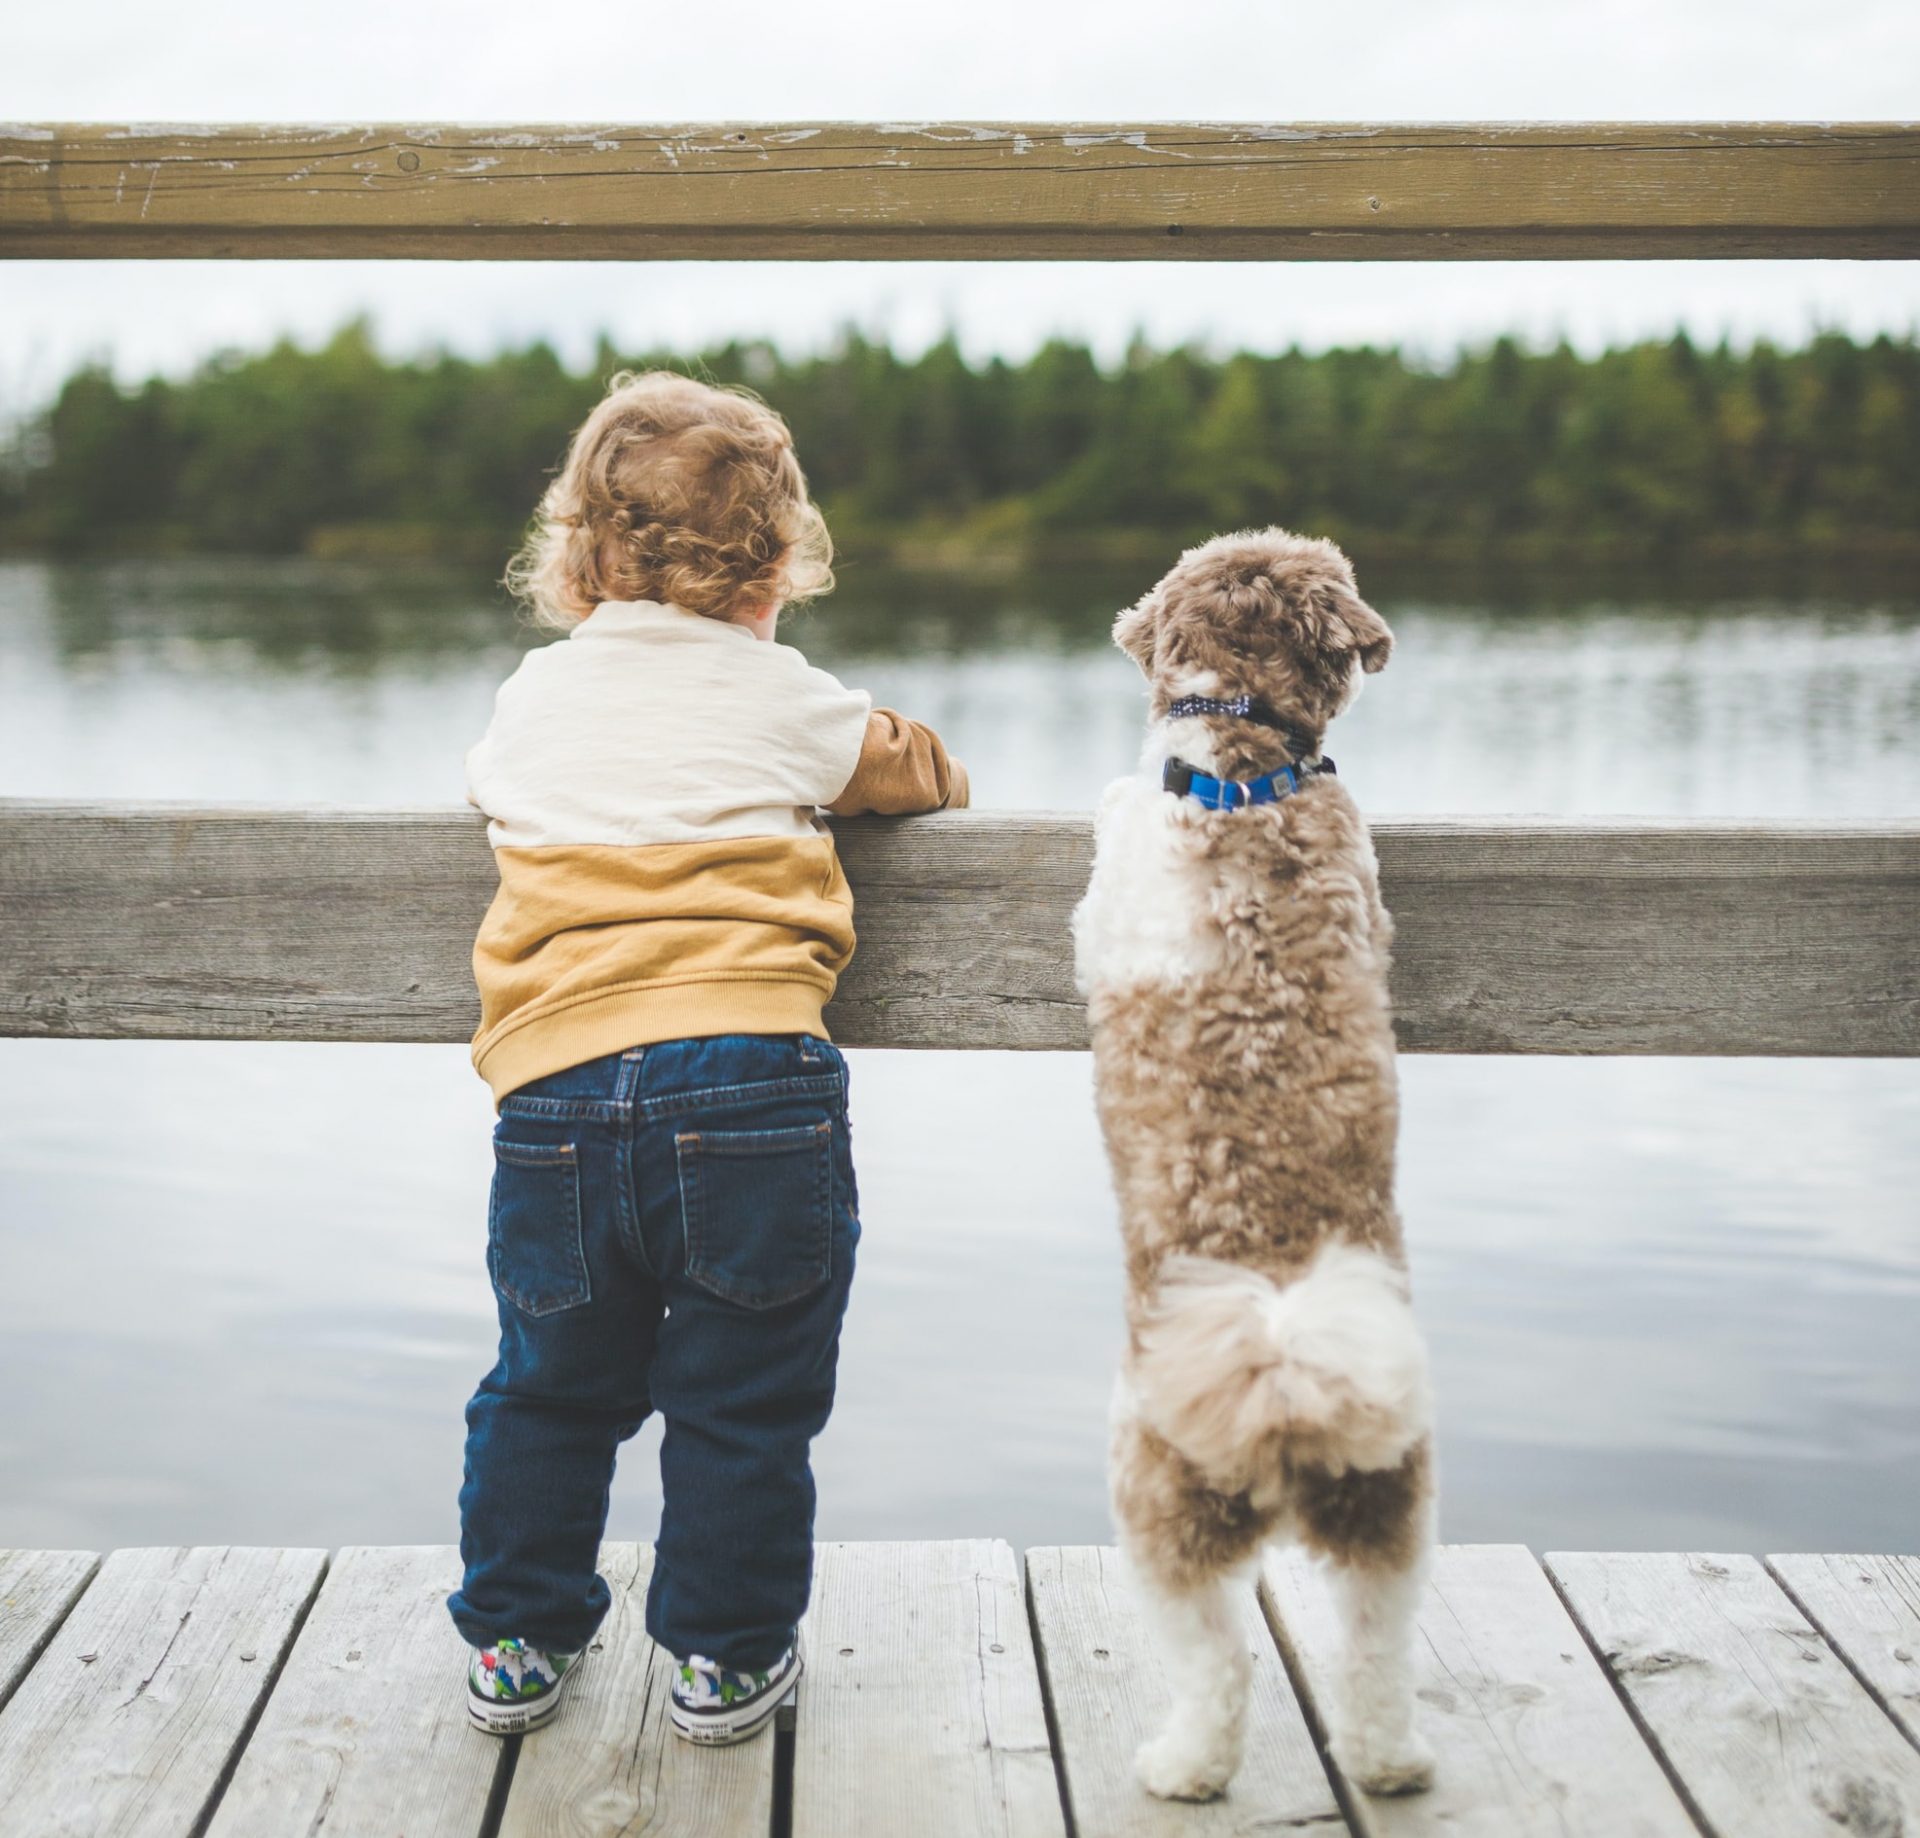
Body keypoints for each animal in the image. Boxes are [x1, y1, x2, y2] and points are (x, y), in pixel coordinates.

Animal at [1075, 522, 1436, 1797]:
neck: (1246, 767)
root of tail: (1285, 1392)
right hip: (1389, 1510)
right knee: (1376, 1650)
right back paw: (1391, 1761)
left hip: (1156, 1505)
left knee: (1216, 1661)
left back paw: (1181, 1765)